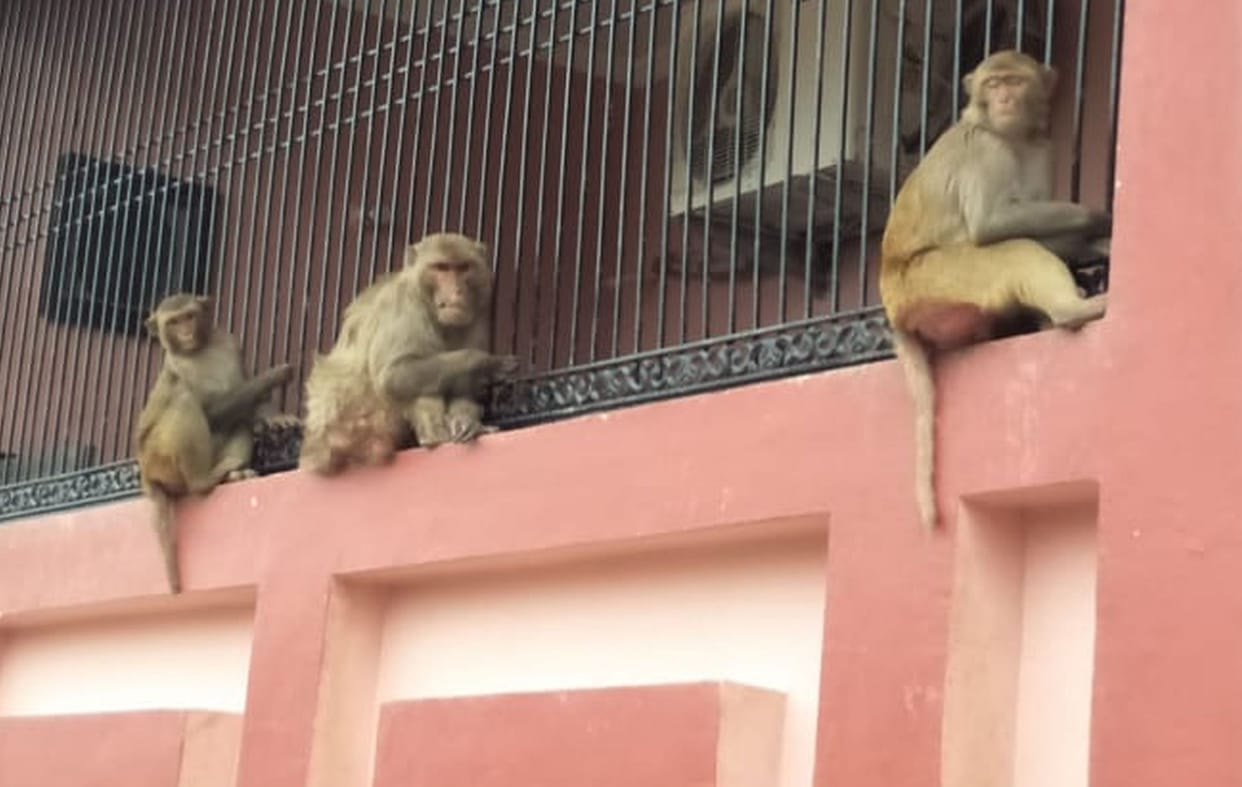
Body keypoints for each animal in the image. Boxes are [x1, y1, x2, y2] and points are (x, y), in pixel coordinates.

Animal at [135, 294, 296, 592]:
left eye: (189, 316)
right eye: (173, 322)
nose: (186, 332)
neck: (200, 349)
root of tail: (146, 474)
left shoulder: (231, 343)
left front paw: (276, 416)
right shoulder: (178, 368)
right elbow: (211, 412)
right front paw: (273, 376)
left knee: (240, 422)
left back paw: (233, 473)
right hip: (159, 458)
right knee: (185, 401)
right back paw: (203, 480)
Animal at [299, 232, 518, 475]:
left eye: (463, 268)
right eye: (441, 268)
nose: (457, 291)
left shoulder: (477, 315)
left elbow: (466, 385)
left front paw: (466, 420)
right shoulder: (405, 303)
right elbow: (394, 374)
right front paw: (487, 363)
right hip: (355, 428)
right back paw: (433, 438)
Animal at [879, 50, 1111, 531]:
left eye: (1014, 82)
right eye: (993, 84)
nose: (1004, 98)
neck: (1013, 136)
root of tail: (893, 306)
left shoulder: (1043, 148)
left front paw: (1096, 241)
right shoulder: (986, 149)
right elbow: (993, 223)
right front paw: (1099, 219)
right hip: (933, 281)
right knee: (1012, 249)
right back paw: (1071, 310)